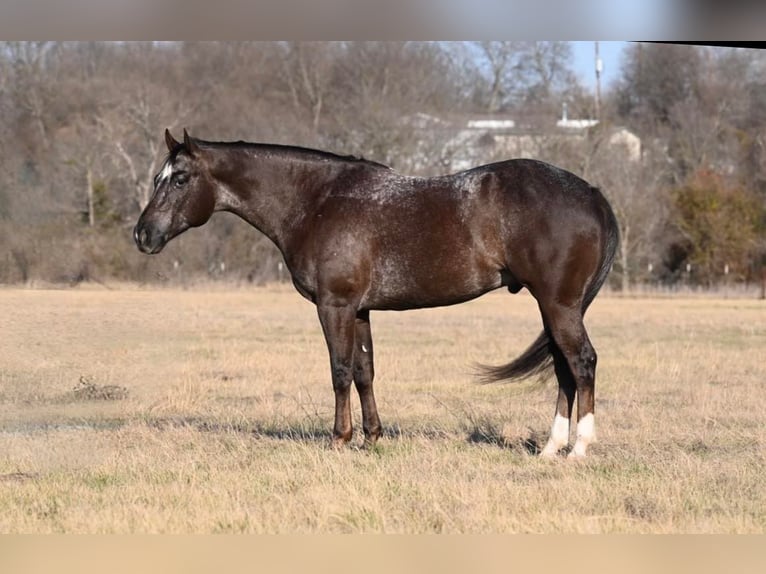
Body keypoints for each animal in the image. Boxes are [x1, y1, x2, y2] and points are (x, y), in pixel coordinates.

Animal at [135, 129, 620, 460]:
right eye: (159, 176)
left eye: (179, 179)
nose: (143, 234)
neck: (317, 202)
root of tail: (592, 193)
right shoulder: (361, 310)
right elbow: (365, 371)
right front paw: (372, 437)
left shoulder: (335, 306)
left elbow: (339, 371)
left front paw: (339, 439)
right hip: (553, 307)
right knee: (563, 368)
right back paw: (551, 448)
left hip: (558, 305)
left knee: (581, 362)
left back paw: (578, 448)